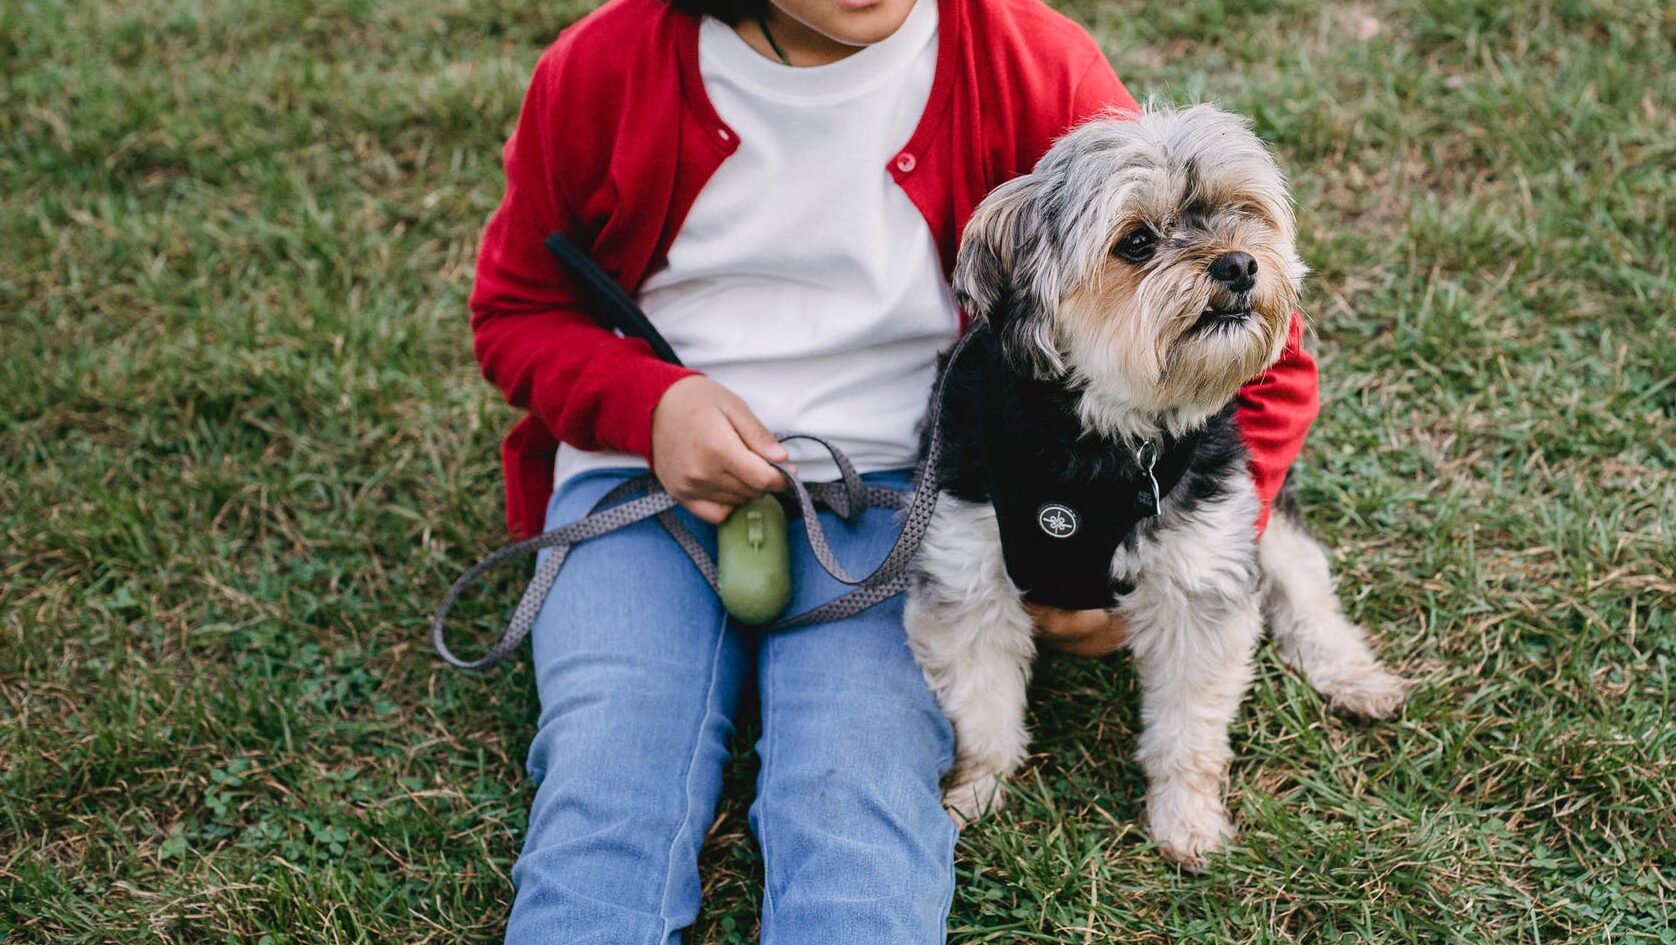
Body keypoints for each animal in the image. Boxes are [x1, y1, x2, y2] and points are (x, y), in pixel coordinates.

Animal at [911, 105, 1407, 871]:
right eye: (1137, 242)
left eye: (1241, 212)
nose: (1239, 263)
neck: (1103, 441)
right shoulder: (967, 575)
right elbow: (983, 710)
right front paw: (973, 794)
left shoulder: (1201, 578)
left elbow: (1189, 725)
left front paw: (1187, 819)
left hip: (1258, 518)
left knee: (1307, 597)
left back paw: (1355, 678)